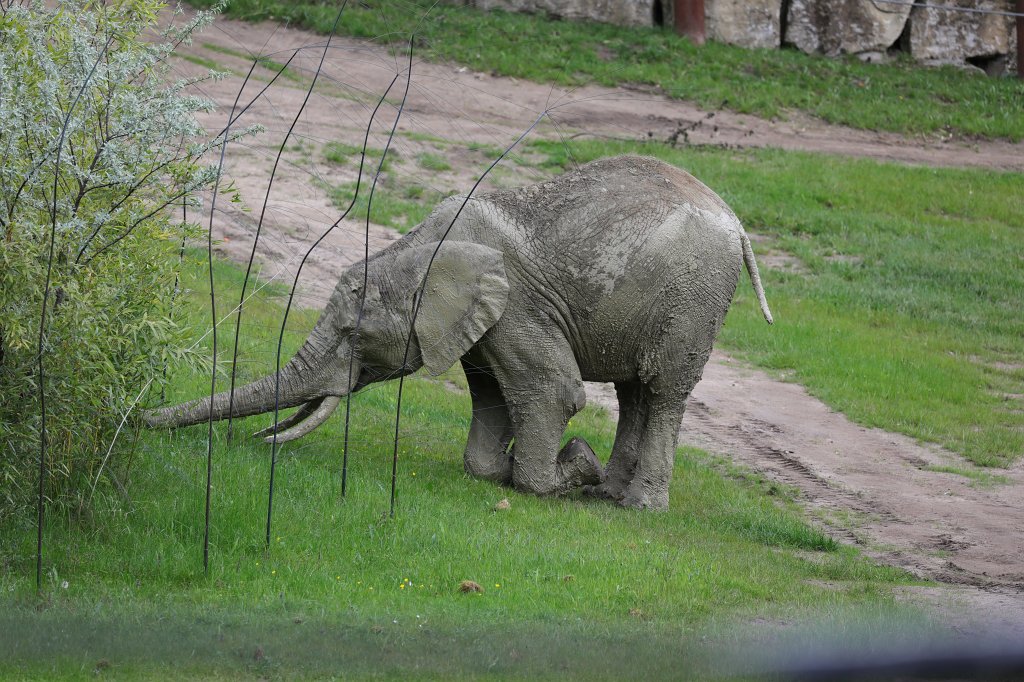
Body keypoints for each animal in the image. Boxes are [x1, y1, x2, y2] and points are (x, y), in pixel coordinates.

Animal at [145, 155, 772, 509]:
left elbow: (554, 393)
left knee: (663, 390)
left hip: (694, 298)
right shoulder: (478, 323)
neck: (421, 245)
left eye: (352, 333)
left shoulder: (517, 302)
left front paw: (572, 465)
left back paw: (637, 506)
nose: (138, 421)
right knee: (633, 389)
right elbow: (491, 392)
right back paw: (610, 494)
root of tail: (737, 222)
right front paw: (511, 470)